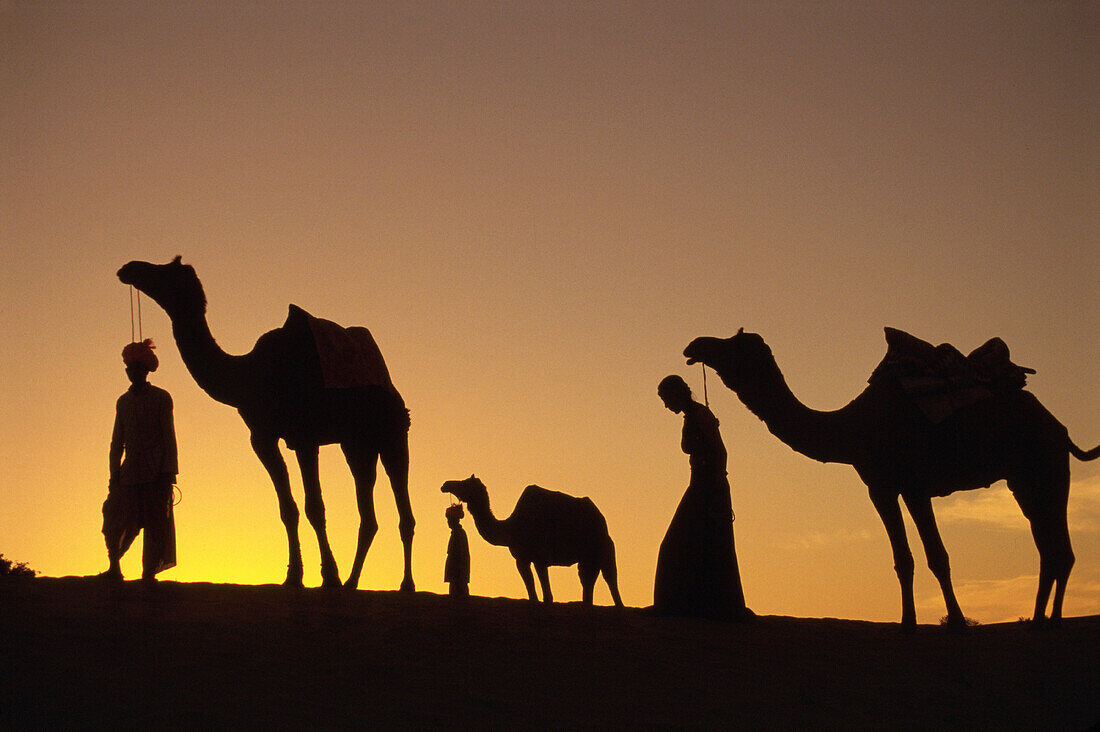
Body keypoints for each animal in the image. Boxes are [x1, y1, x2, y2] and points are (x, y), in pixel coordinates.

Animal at [118, 256, 413, 590]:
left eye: (164, 271)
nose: (129, 268)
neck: (252, 373)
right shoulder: (262, 437)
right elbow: (288, 508)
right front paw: (294, 576)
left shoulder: (304, 436)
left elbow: (315, 507)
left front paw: (329, 576)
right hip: (357, 444)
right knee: (368, 512)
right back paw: (353, 582)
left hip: (393, 432)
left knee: (403, 506)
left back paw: (405, 584)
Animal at [682, 328, 1095, 625]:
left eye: (734, 344)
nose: (695, 344)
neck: (853, 427)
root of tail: (1061, 429)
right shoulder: (879, 487)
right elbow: (903, 559)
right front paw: (908, 623)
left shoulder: (915, 485)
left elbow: (937, 555)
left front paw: (957, 622)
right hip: (1024, 479)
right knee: (1051, 547)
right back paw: (1040, 620)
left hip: (1047, 465)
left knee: (1059, 549)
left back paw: (1051, 621)